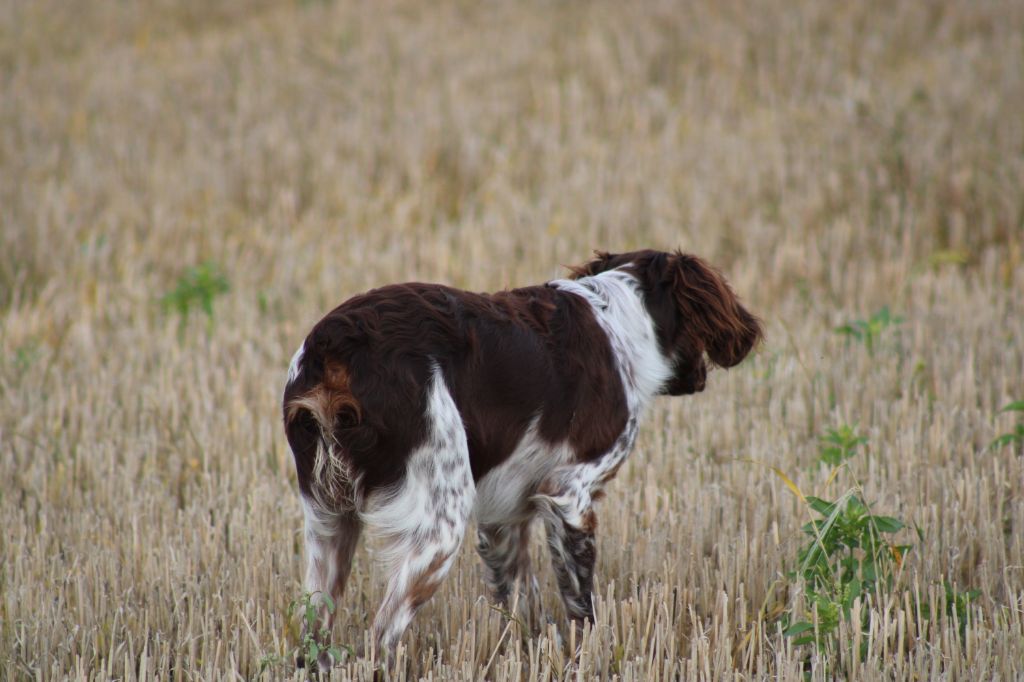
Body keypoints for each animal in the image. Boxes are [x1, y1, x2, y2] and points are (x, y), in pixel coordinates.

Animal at [280, 249, 761, 663]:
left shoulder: (503, 518)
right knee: (380, 638)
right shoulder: (570, 495)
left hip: (329, 527)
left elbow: (521, 602)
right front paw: (590, 656)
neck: (621, 319)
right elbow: (580, 604)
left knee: (314, 637)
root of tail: (336, 348)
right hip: (439, 528)